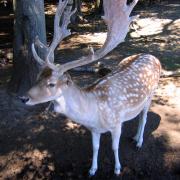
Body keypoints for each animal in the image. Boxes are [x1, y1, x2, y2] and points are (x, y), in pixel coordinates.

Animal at [20, 0, 162, 176]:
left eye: (51, 83)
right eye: (38, 77)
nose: (23, 98)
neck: (93, 114)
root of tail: (153, 57)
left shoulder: (116, 124)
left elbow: (114, 147)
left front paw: (117, 168)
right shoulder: (93, 129)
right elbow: (95, 148)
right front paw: (92, 169)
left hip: (151, 94)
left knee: (144, 117)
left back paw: (139, 141)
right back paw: (135, 137)